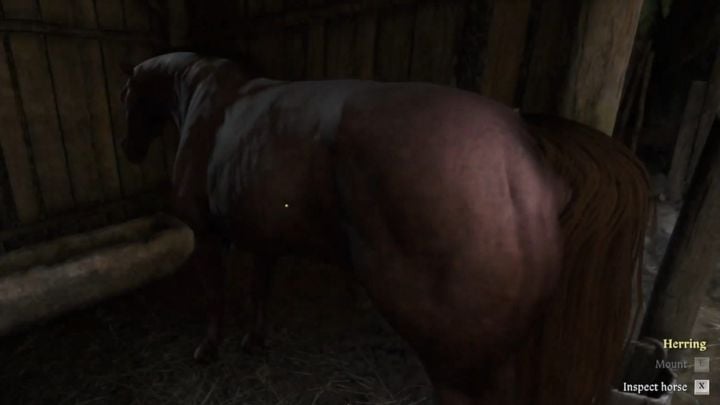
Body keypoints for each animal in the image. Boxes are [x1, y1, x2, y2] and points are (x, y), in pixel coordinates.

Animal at [120, 52, 650, 405]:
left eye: (126, 97)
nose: (129, 150)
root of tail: (526, 148)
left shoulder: (209, 237)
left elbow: (215, 296)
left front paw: (208, 349)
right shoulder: (263, 241)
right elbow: (260, 291)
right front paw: (255, 341)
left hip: (458, 360)